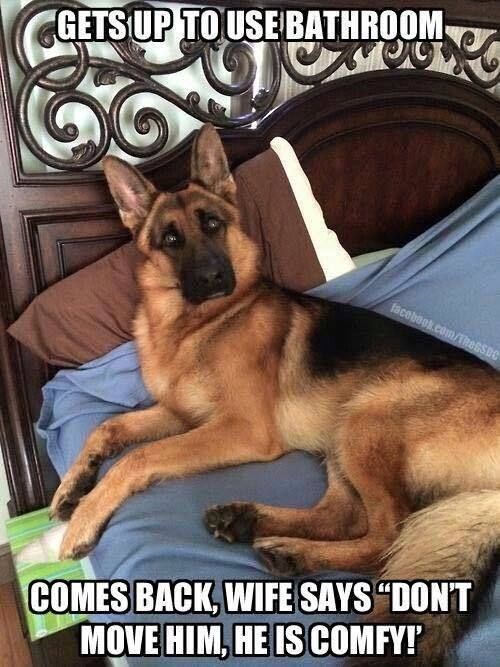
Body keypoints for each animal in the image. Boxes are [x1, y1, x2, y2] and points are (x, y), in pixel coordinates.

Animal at [51, 124, 500, 664]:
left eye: (213, 223)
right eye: (171, 239)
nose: (214, 279)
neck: (195, 326)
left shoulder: (241, 429)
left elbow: (139, 458)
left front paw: (85, 518)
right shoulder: (183, 415)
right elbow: (109, 425)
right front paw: (72, 486)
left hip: (367, 416)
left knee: (389, 534)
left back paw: (293, 551)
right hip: (343, 436)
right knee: (345, 516)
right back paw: (250, 522)